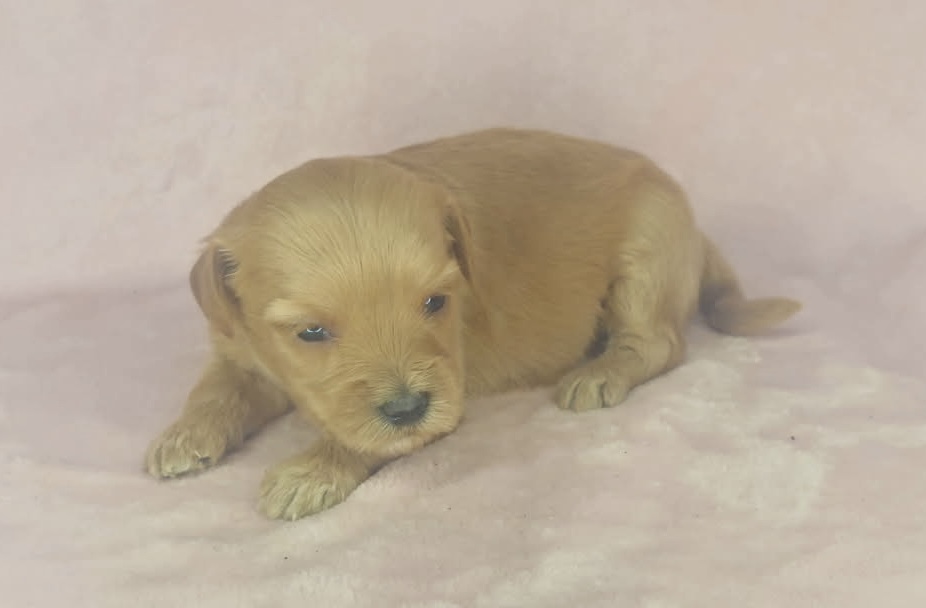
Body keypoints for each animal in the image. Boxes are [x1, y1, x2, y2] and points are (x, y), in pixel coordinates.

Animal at [145, 128, 800, 520]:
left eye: (436, 302)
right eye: (311, 333)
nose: (408, 407)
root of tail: (695, 229)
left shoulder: (445, 384)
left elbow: (366, 438)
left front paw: (311, 469)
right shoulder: (240, 348)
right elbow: (216, 387)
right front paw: (183, 436)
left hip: (646, 253)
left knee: (659, 342)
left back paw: (600, 371)